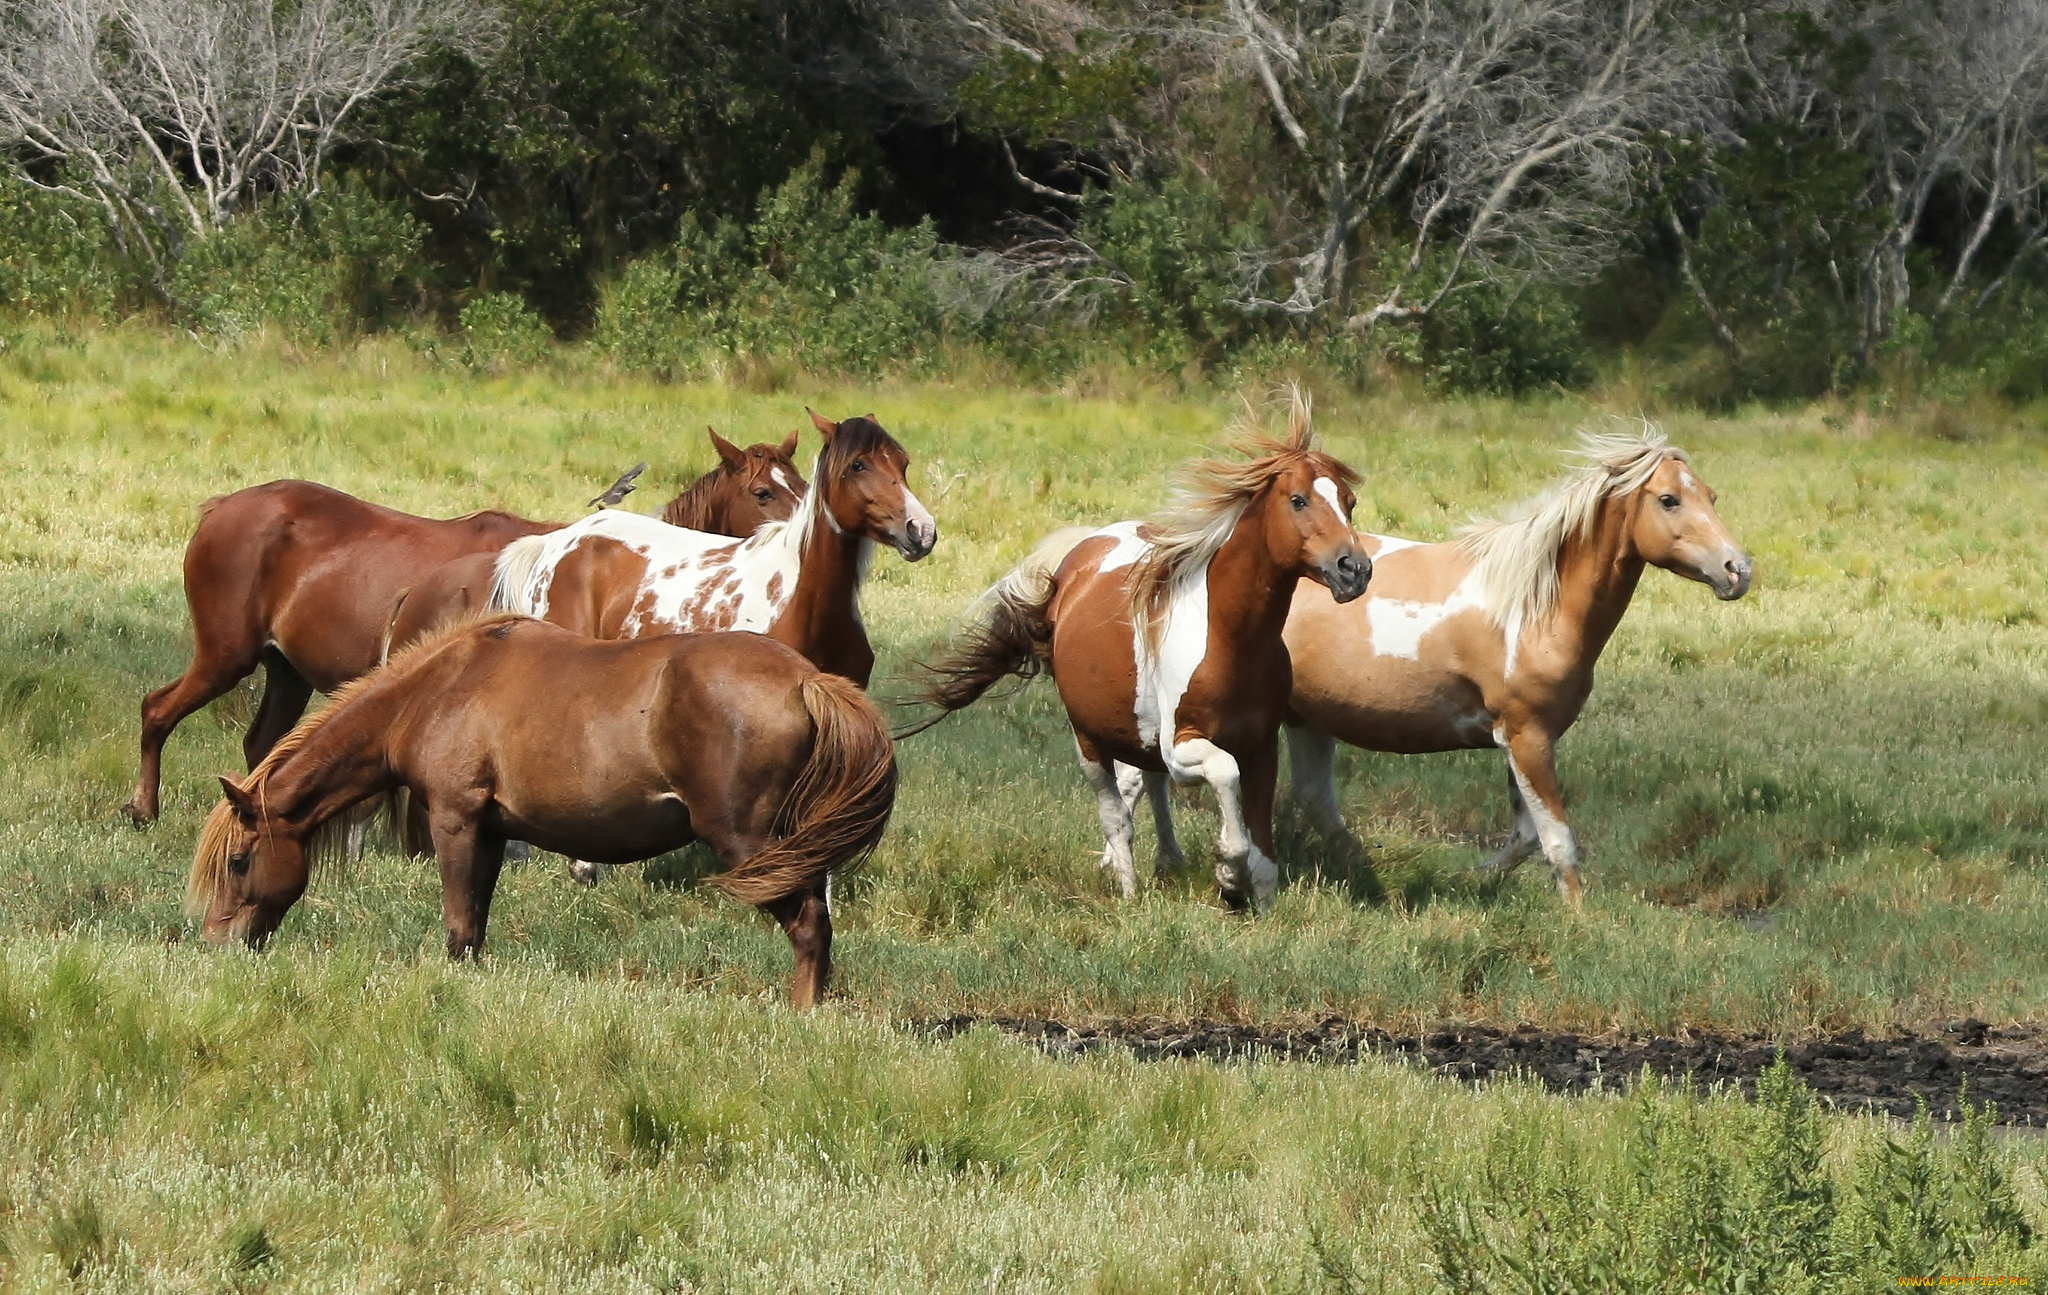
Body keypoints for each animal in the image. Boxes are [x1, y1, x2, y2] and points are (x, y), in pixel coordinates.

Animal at [119, 430, 806, 823]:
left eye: (802, 482)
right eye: (763, 492)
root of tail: (221, 508)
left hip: (286, 672)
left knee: (262, 744)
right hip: (225, 655)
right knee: (156, 710)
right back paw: (144, 808)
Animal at [188, 610, 892, 1008]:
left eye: (241, 861)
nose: (217, 946)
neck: (438, 689)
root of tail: (805, 679)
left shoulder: (455, 821)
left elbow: (457, 928)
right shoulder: (494, 833)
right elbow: (474, 929)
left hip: (753, 845)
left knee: (809, 925)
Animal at [917, 395, 1368, 909]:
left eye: (1349, 502)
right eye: (1298, 500)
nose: (1355, 569)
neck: (1231, 640)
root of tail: (1081, 552)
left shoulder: (1261, 745)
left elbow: (1262, 843)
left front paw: (1257, 898)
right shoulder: (1184, 749)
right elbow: (1225, 781)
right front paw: (1227, 874)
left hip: (1139, 735)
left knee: (1150, 784)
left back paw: (1168, 861)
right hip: (1090, 742)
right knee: (1117, 818)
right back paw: (1129, 889)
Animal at [1286, 424, 1753, 901]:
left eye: (1711, 496)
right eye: (1669, 499)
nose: (1738, 570)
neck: (1532, 608)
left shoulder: (1529, 737)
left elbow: (1526, 837)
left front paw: (1472, 878)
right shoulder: (1527, 735)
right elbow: (1558, 842)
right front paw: (1577, 914)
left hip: (1309, 718)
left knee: (1313, 800)